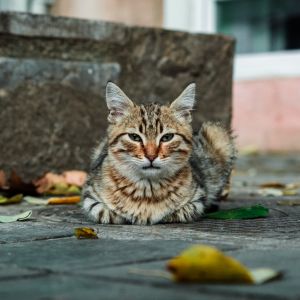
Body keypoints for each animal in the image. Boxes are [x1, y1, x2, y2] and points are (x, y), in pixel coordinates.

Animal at [82, 82, 237, 225]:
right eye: (134, 137)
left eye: (167, 137)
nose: (151, 156)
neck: (147, 188)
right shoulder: (89, 195)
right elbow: (104, 211)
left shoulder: (198, 197)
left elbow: (181, 211)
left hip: (217, 133)